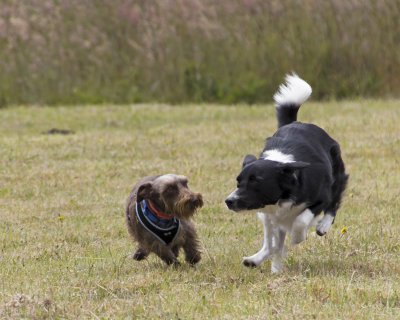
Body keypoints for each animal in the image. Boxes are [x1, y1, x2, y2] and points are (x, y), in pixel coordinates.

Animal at [227, 74, 348, 274]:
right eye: (238, 182)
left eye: (256, 181)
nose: (229, 201)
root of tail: (297, 123)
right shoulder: (268, 213)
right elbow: (273, 242)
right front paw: (271, 264)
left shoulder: (320, 196)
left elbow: (301, 221)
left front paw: (298, 237)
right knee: (272, 242)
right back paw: (259, 260)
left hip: (337, 175)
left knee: (335, 201)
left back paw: (322, 226)